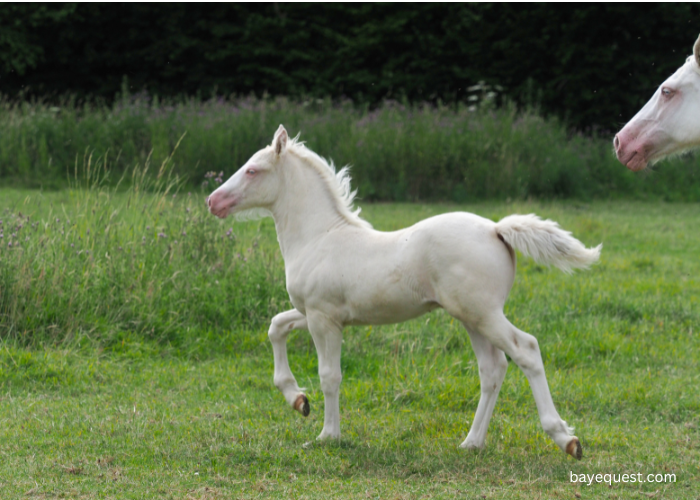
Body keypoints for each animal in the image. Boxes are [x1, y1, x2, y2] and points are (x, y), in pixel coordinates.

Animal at [208, 127, 600, 458]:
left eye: (253, 170)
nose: (213, 201)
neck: (319, 237)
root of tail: (496, 229)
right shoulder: (317, 314)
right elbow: (276, 326)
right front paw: (297, 400)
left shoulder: (323, 318)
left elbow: (330, 376)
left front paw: (327, 435)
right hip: (471, 318)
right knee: (492, 369)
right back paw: (471, 442)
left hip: (484, 314)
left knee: (527, 350)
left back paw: (566, 439)